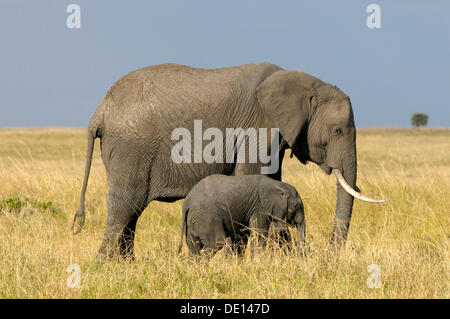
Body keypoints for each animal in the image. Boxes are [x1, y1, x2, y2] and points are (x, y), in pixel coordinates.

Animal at [177, 175, 306, 258]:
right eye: (297, 206)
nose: (298, 255)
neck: (277, 184)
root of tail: (186, 203)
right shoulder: (260, 208)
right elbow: (259, 235)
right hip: (207, 218)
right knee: (215, 243)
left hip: (192, 221)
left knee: (194, 247)